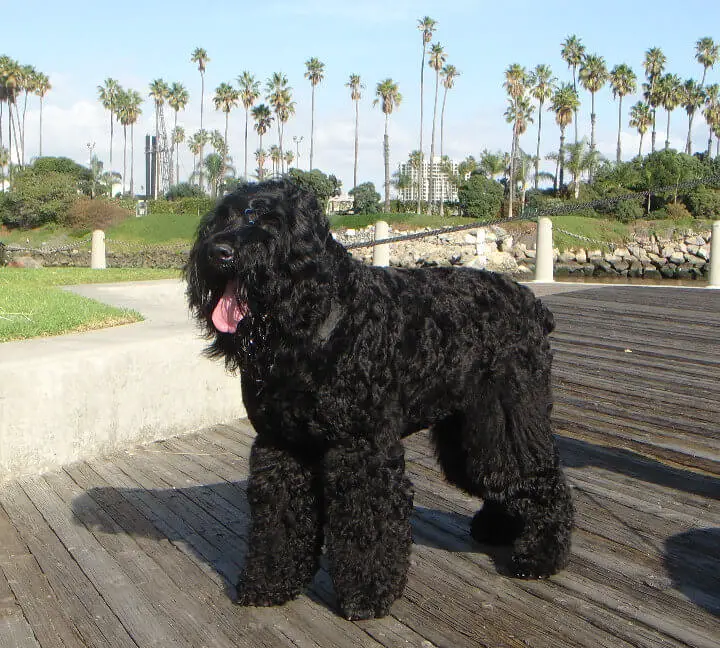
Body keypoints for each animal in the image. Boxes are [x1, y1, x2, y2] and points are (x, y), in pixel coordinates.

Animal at [187, 180, 572, 620]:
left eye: (269, 221)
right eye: (222, 218)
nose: (219, 252)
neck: (316, 320)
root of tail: (533, 306)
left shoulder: (362, 448)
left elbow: (366, 521)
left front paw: (367, 593)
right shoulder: (282, 447)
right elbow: (280, 519)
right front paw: (270, 582)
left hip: (507, 419)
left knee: (540, 477)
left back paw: (540, 554)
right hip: (471, 430)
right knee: (496, 476)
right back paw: (498, 528)